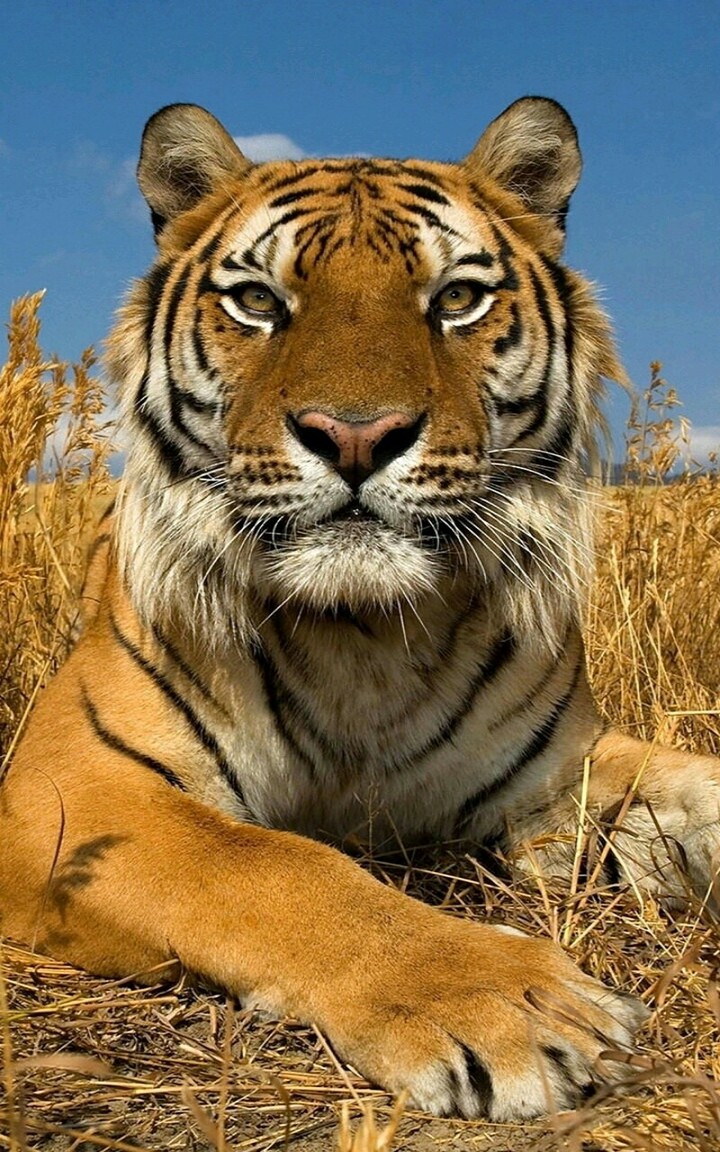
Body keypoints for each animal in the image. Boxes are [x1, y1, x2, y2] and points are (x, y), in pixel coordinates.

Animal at [2, 96, 720, 1123]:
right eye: (259, 302)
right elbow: (274, 864)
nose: (354, 435)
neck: (364, 635)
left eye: (456, 298)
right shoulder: (73, 787)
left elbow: (695, 791)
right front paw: (513, 1004)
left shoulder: (560, 775)